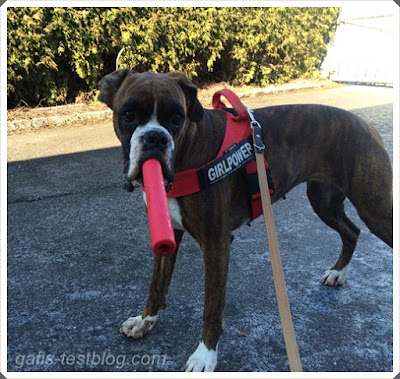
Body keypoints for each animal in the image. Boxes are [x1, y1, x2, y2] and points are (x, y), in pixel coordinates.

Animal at [98, 70, 392, 372]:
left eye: (177, 118)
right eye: (129, 114)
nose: (155, 138)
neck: (186, 153)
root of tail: (367, 125)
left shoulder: (216, 244)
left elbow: (212, 306)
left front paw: (205, 355)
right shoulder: (170, 236)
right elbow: (157, 285)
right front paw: (145, 321)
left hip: (375, 210)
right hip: (325, 202)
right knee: (352, 231)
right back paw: (338, 273)